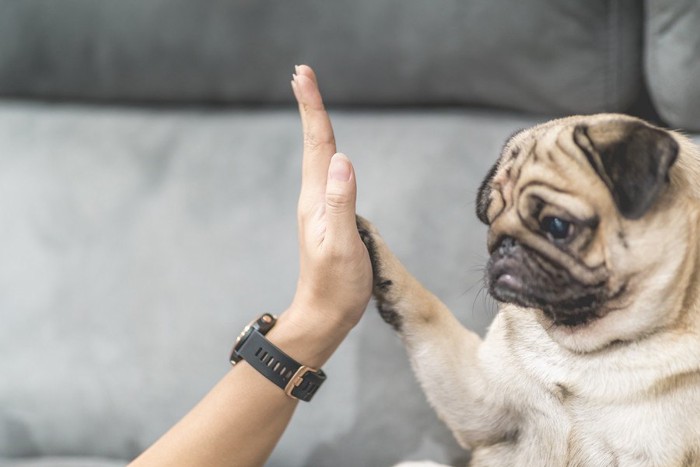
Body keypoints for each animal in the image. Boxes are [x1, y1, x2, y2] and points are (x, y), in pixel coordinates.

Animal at [358, 114, 700, 467]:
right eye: (491, 219)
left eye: (557, 226)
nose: (504, 244)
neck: (581, 351)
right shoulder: (481, 398)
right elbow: (427, 311)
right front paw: (372, 248)